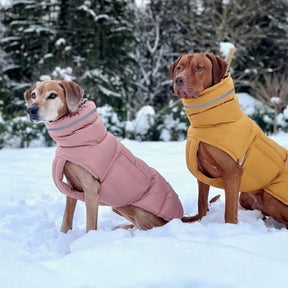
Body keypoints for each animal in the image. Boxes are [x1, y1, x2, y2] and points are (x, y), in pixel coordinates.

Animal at [23, 80, 183, 233]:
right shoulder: (71, 187)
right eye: (33, 95)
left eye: (52, 95)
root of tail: (180, 217)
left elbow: (90, 225)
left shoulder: (91, 189)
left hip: (127, 206)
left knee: (146, 227)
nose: (31, 110)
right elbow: (66, 221)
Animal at [170, 52, 288, 227]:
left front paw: (230, 228)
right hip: (245, 196)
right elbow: (202, 203)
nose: (179, 79)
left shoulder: (232, 173)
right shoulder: (202, 172)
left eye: (199, 67)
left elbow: (229, 212)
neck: (211, 123)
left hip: (270, 197)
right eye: (179, 67)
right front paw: (198, 220)